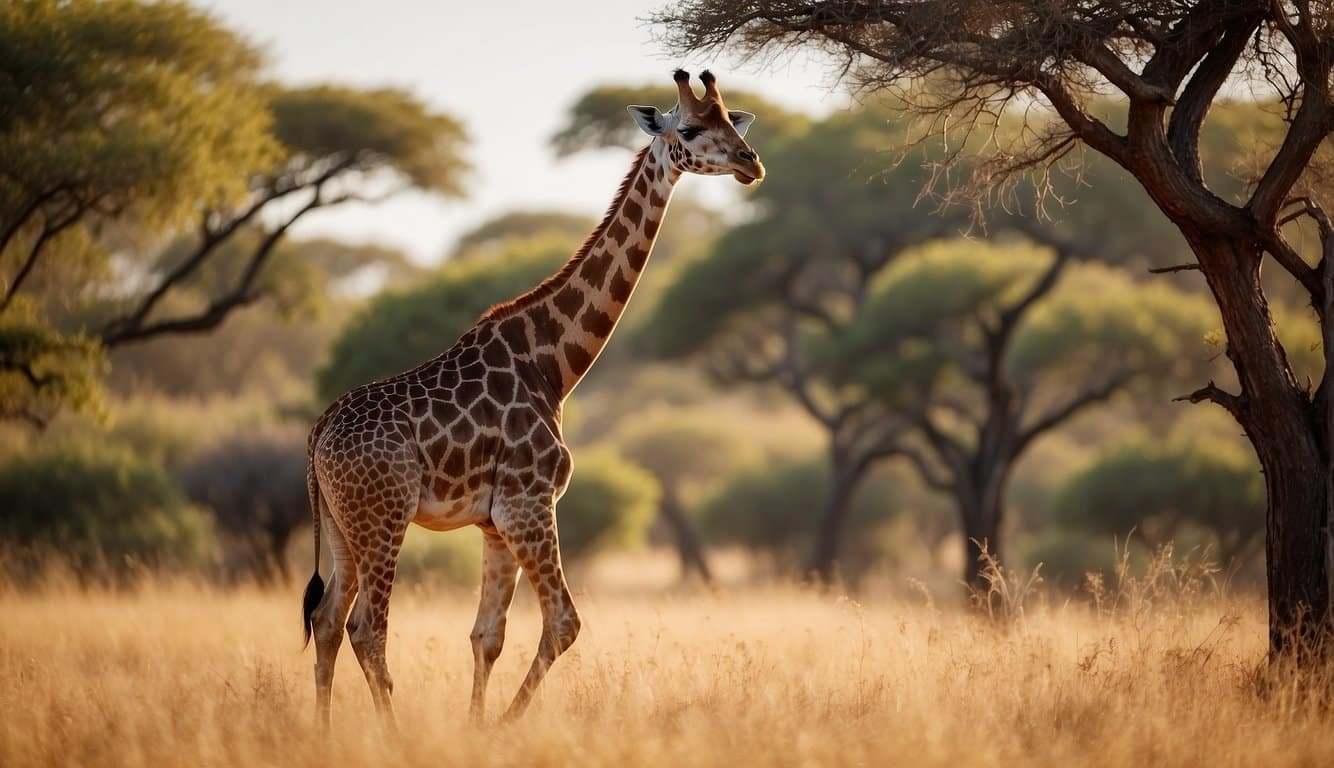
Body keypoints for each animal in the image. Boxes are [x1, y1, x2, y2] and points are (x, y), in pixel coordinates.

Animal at [301, 69, 763, 730]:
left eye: (732, 120)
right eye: (694, 129)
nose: (752, 163)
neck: (554, 365)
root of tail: (317, 435)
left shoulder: (495, 521)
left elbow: (486, 636)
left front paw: (475, 727)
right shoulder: (530, 502)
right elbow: (564, 623)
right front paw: (499, 728)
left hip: (342, 525)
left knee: (328, 620)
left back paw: (323, 733)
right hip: (383, 518)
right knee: (367, 628)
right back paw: (390, 735)